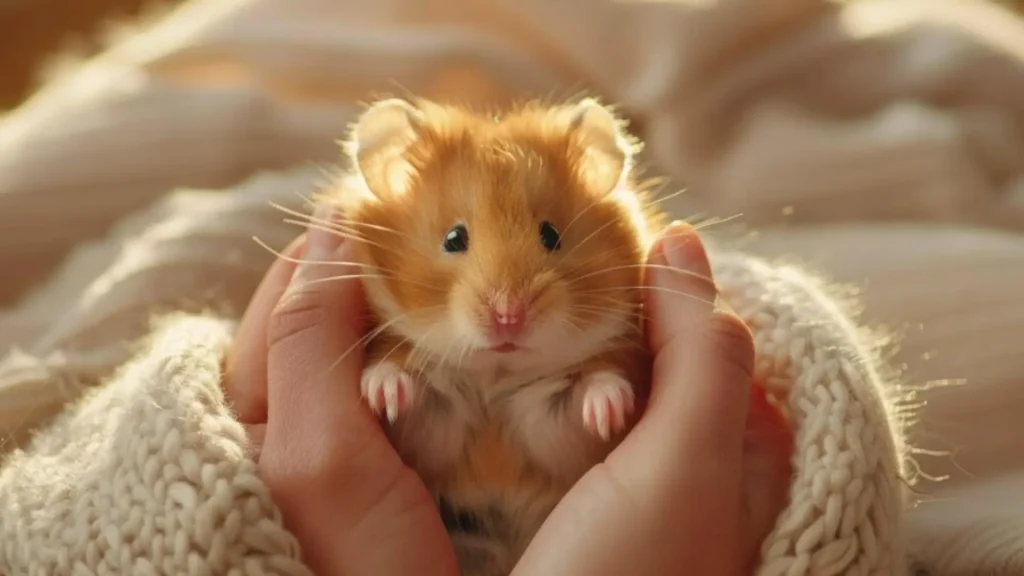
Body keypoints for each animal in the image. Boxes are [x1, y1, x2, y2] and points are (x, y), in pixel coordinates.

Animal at [328, 96, 664, 576]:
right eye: (453, 237)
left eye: (551, 235)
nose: (508, 315)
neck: (495, 376)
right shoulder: (428, 439)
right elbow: (406, 391)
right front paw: (386, 395)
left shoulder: (554, 437)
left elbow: (586, 394)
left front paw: (610, 409)